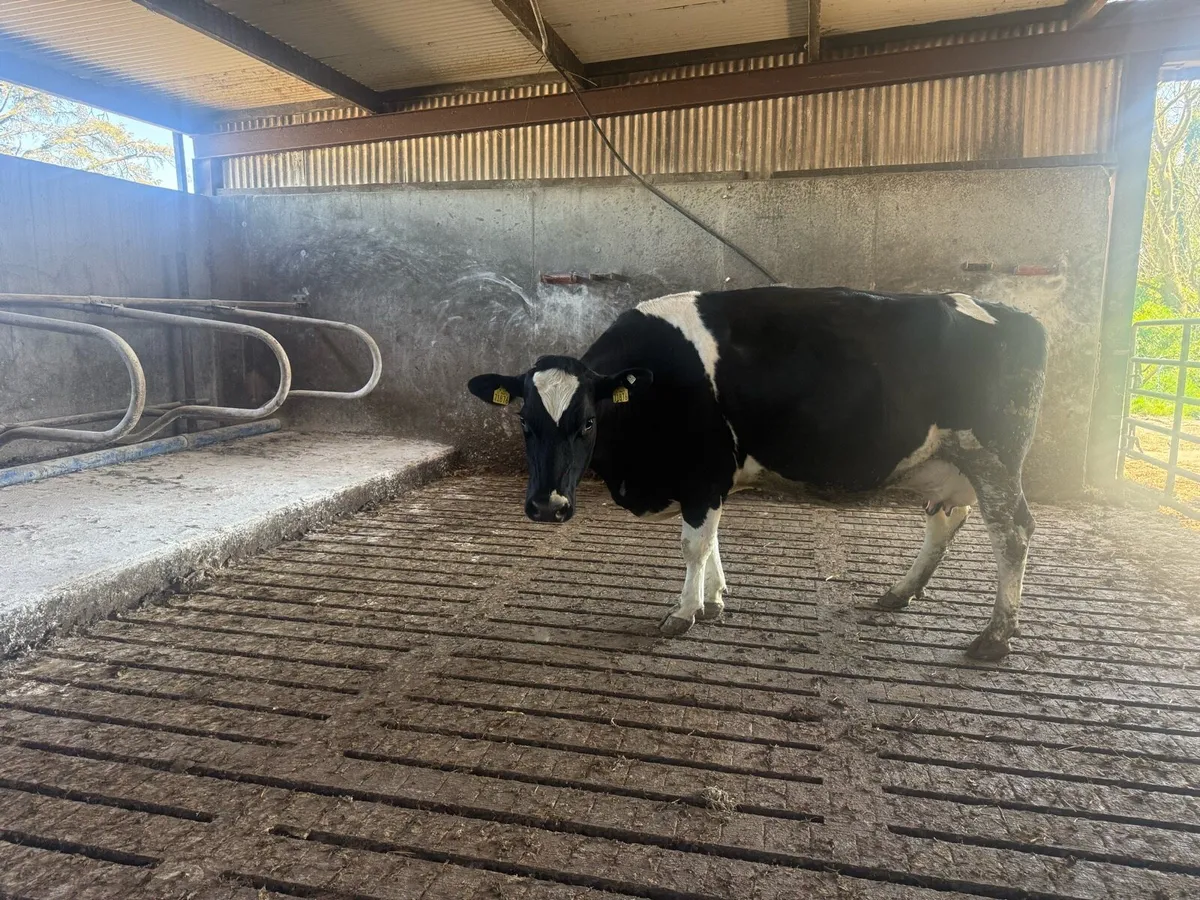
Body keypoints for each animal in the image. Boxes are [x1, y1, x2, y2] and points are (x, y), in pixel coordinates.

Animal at [468, 286, 1046, 660]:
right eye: (524, 422)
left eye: (588, 422)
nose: (547, 506)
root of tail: (1014, 314)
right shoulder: (711, 480)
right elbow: (713, 541)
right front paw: (715, 600)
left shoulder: (703, 472)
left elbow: (694, 546)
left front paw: (684, 612)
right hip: (953, 461)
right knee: (946, 520)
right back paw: (901, 593)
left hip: (996, 456)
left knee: (1013, 532)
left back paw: (995, 638)